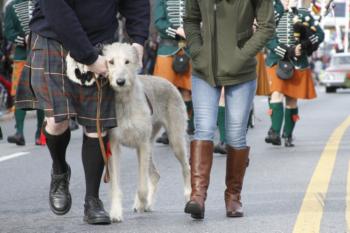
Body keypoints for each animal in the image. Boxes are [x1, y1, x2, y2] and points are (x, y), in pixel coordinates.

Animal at [65, 42, 191, 223]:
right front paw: (116, 212)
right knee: (155, 175)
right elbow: (116, 184)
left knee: (185, 167)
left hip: (174, 140)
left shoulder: (142, 144)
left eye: (127, 61)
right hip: (151, 143)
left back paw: (188, 198)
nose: (120, 81)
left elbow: (142, 186)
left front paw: (140, 202)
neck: (124, 101)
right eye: (110, 62)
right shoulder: (114, 146)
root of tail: (167, 81)